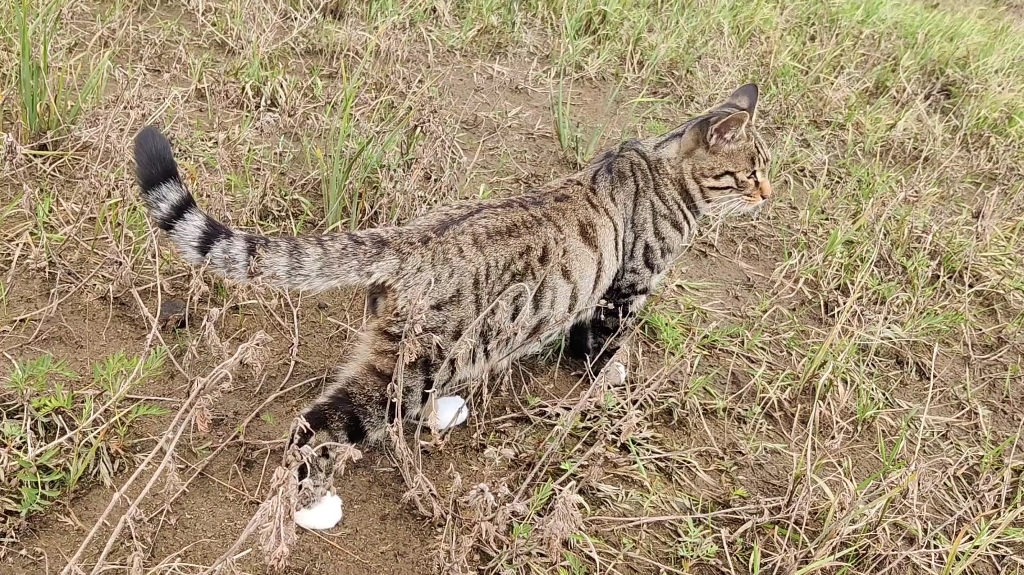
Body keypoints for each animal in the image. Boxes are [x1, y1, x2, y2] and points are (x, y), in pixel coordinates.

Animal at [136, 81, 770, 523]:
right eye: (750, 173)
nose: (769, 193)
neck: (665, 172)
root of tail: (406, 240)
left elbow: (579, 337)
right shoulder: (625, 287)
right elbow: (603, 348)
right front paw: (611, 382)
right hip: (410, 366)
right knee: (318, 425)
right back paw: (311, 505)